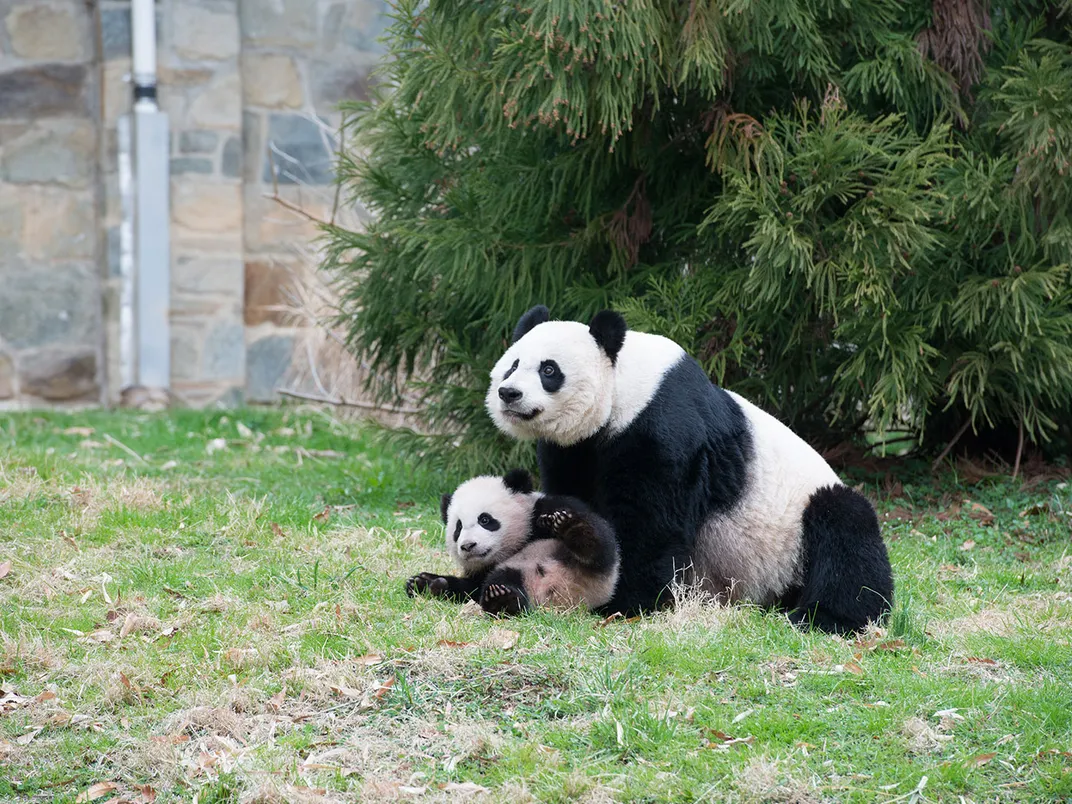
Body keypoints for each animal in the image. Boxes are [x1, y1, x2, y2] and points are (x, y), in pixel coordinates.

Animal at [486, 304, 896, 634]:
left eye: (549, 370)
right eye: (512, 365)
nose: (509, 393)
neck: (625, 387)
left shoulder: (664, 426)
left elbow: (651, 523)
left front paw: (625, 601)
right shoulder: (575, 448)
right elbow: (572, 493)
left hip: (796, 530)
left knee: (846, 534)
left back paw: (825, 618)